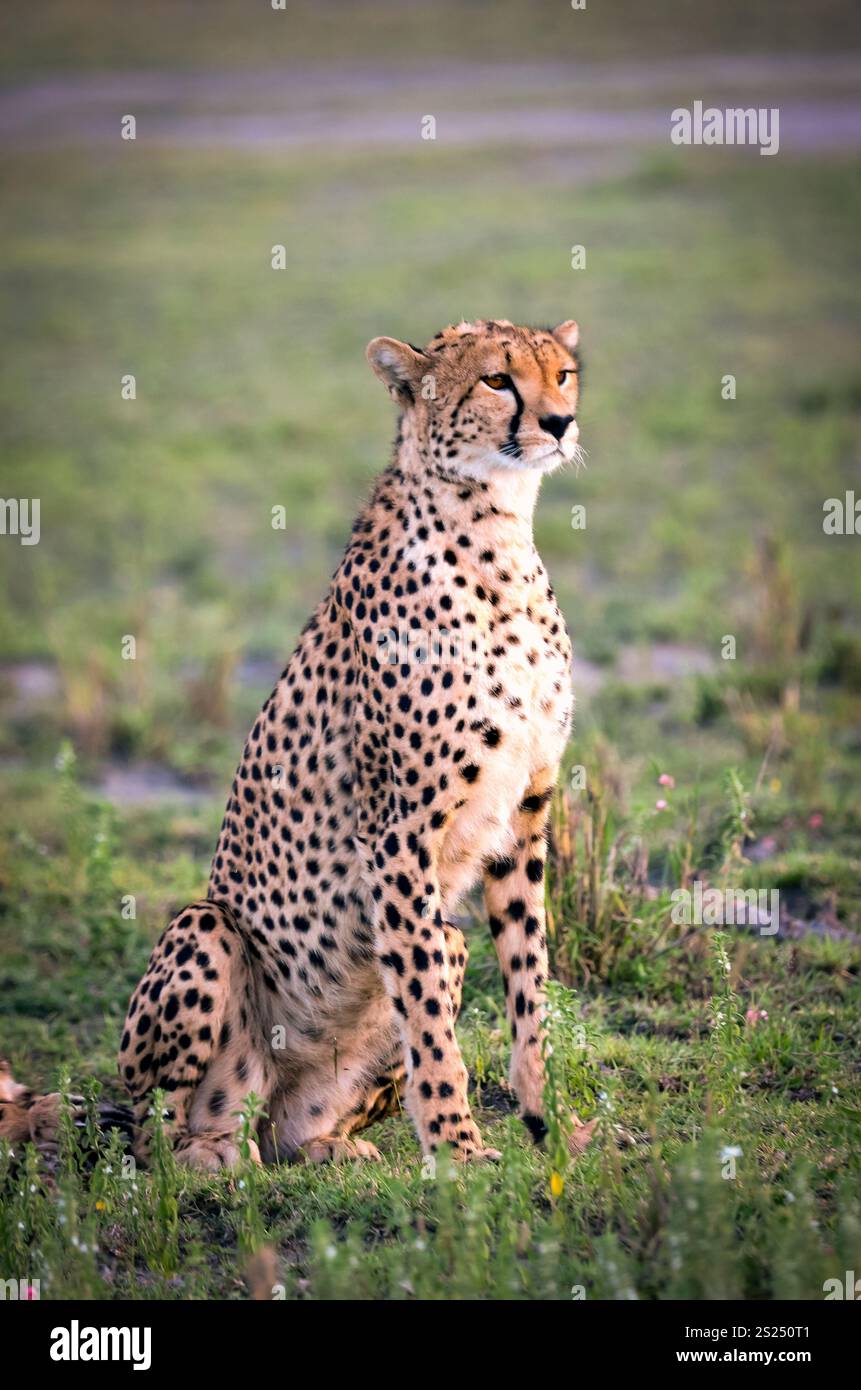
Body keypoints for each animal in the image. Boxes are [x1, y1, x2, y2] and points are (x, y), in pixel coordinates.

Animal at [2, 318, 595, 1171]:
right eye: (496, 380)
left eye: (563, 374)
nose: (559, 423)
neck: (497, 532)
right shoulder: (397, 833)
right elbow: (429, 1026)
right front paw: (456, 1150)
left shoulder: (525, 813)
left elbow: (528, 976)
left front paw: (542, 1120)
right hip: (205, 933)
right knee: (155, 1134)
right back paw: (207, 1158)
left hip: (431, 963)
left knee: (295, 1119)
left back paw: (323, 1149)